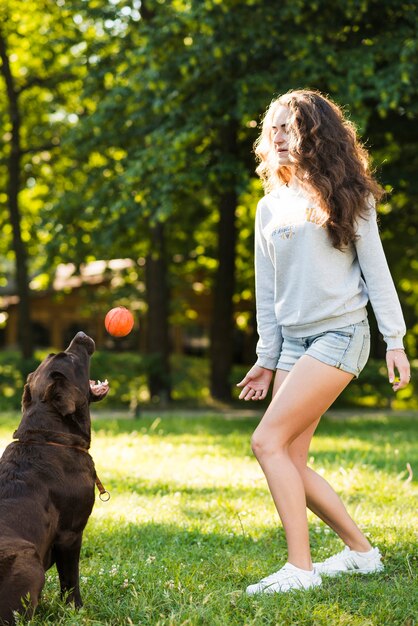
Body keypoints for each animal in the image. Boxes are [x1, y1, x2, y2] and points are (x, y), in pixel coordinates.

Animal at [0, 330, 109, 620]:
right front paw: (77, 610)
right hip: (29, 559)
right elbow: (70, 579)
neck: (48, 437)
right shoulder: (71, 533)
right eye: (68, 357)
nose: (80, 334)